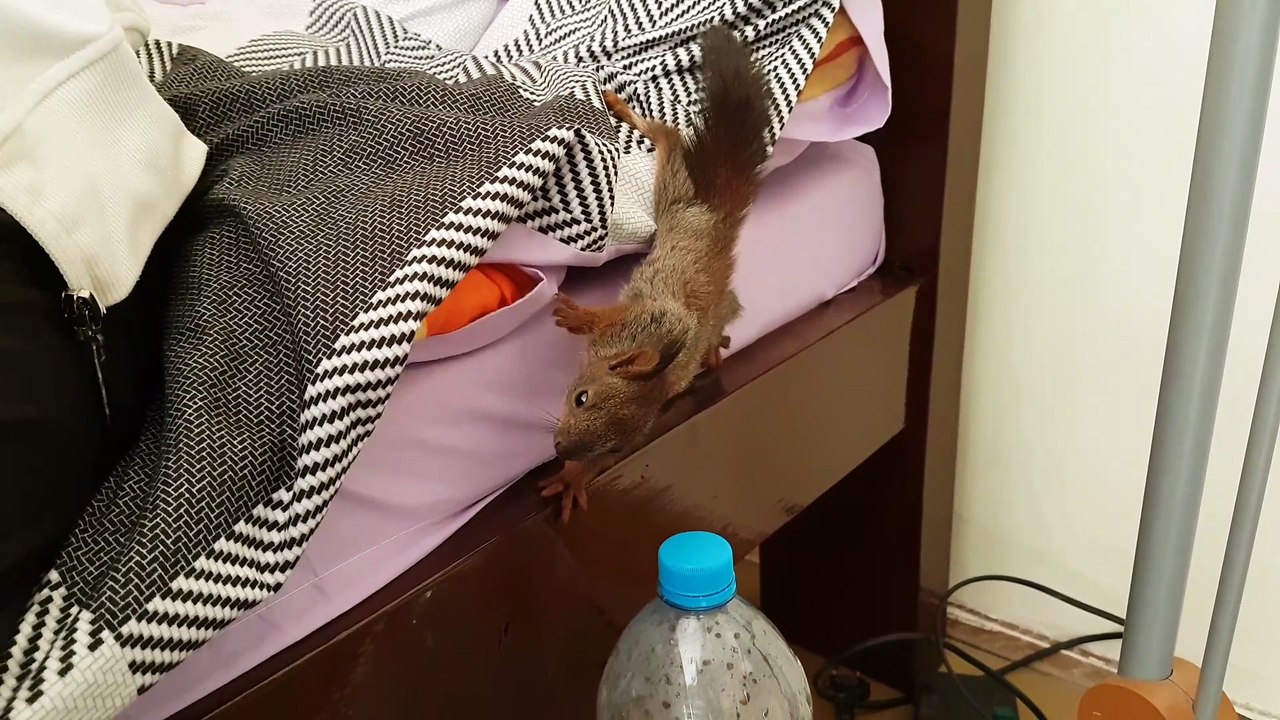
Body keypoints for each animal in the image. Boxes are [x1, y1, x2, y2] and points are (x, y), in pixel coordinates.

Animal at [539, 26, 773, 522]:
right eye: (581, 399)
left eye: (614, 449)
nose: (559, 449)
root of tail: (718, 219)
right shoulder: (651, 318)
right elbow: (611, 317)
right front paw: (579, 316)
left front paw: (572, 479)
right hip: (674, 196)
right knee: (669, 139)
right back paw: (624, 109)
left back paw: (715, 348)